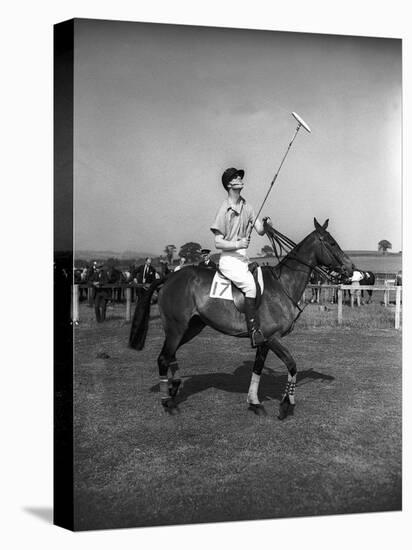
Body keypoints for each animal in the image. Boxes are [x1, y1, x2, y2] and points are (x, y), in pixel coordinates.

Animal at [130, 218, 354, 420]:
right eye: (331, 243)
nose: (351, 268)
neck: (283, 284)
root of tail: (169, 277)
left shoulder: (263, 341)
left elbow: (257, 369)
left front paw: (255, 403)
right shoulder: (272, 337)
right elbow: (291, 365)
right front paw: (286, 405)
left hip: (192, 327)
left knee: (171, 354)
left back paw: (174, 386)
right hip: (176, 327)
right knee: (163, 357)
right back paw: (167, 402)